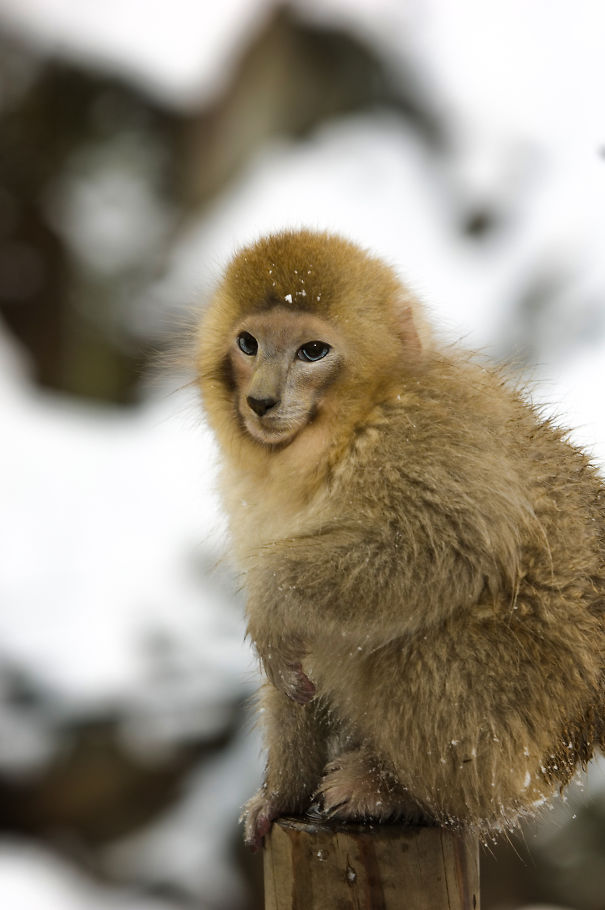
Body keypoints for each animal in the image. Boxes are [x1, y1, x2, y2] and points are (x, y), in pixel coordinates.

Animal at [195, 229, 605, 850]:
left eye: (312, 352)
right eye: (248, 343)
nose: (262, 400)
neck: (341, 434)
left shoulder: (420, 438)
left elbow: (456, 546)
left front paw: (271, 599)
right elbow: (297, 668)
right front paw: (281, 793)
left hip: (525, 734)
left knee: (429, 637)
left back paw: (404, 794)